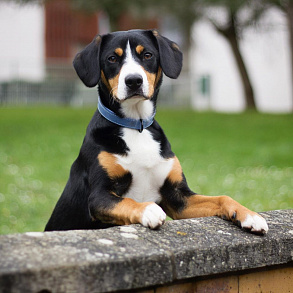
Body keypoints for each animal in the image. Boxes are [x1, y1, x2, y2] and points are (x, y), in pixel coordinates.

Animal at [45, 29, 266, 234]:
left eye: (147, 55)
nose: (133, 80)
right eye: (112, 58)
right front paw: (148, 210)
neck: (137, 126)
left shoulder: (178, 197)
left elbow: (222, 197)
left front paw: (250, 215)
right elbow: (128, 202)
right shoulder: (99, 196)